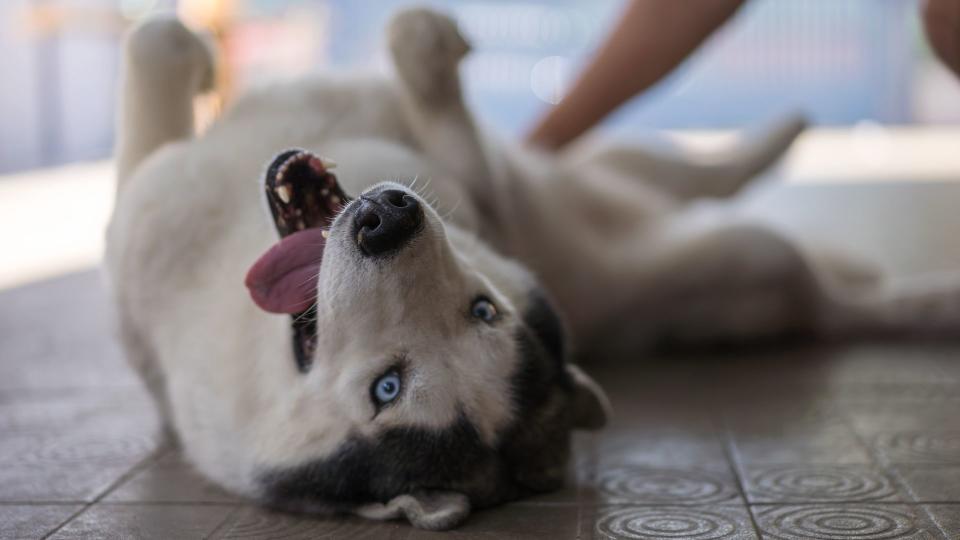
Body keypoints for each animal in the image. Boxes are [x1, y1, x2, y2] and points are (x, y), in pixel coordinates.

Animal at [105, 7, 960, 532]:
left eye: (484, 311)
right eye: (389, 388)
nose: (388, 218)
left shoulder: (482, 190)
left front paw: (420, 51)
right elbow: (155, 49)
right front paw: (194, 58)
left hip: (711, 235)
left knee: (780, 250)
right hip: (682, 212)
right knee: (713, 198)